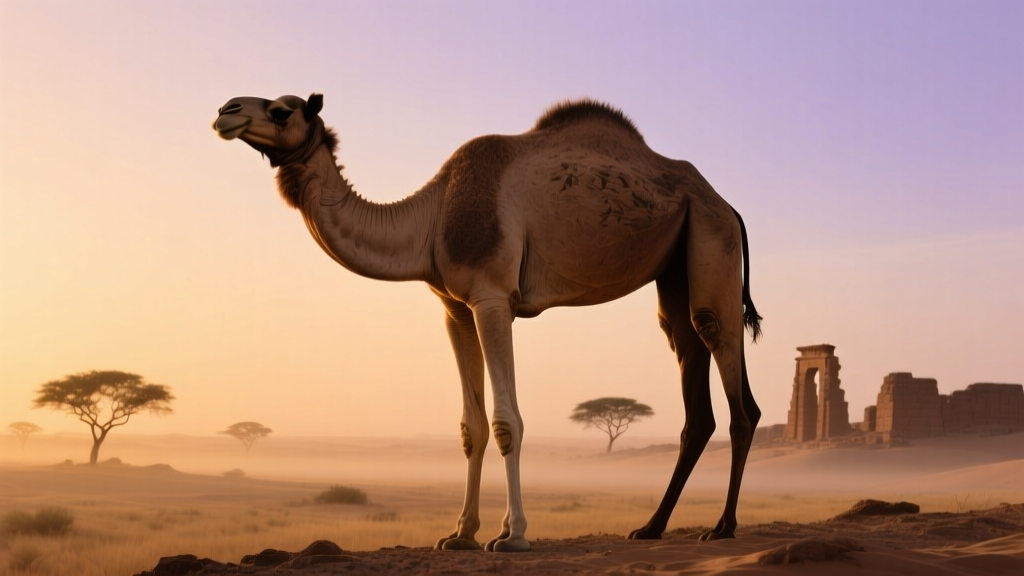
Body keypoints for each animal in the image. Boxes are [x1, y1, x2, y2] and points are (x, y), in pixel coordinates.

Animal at [213, 94, 762, 552]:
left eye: (282, 110)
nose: (225, 110)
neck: (431, 218)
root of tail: (727, 204)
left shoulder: (493, 300)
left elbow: (506, 422)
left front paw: (513, 535)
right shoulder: (454, 309)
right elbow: (471, 427)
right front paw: (460, 534)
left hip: (711, 235)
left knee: (726, 363)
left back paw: (722, 527)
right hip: (676, 262)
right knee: (687, 356)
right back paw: (650, 527)